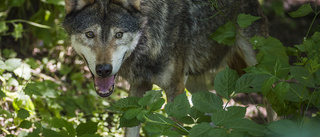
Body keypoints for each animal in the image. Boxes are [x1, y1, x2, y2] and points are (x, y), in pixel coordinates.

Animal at [62, 0, 268, 135]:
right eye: (90, 34)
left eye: (119, 34)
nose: (104, 69)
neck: (149, 36)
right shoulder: (139, 89)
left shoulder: (175, 92)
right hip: (195, 86)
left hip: (259, 68)